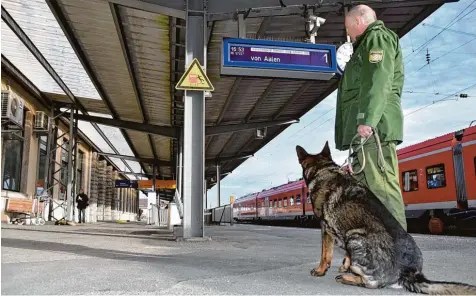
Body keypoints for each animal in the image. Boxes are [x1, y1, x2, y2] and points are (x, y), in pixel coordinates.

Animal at [296, 143, 474, 294]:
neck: (323, 169)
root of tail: (408, 271)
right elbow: (345, 255)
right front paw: (345, 265)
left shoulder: (325, 228)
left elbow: (325, 254)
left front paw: (320, 270)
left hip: (354, 236)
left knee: (372, 283)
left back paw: (348, 278)